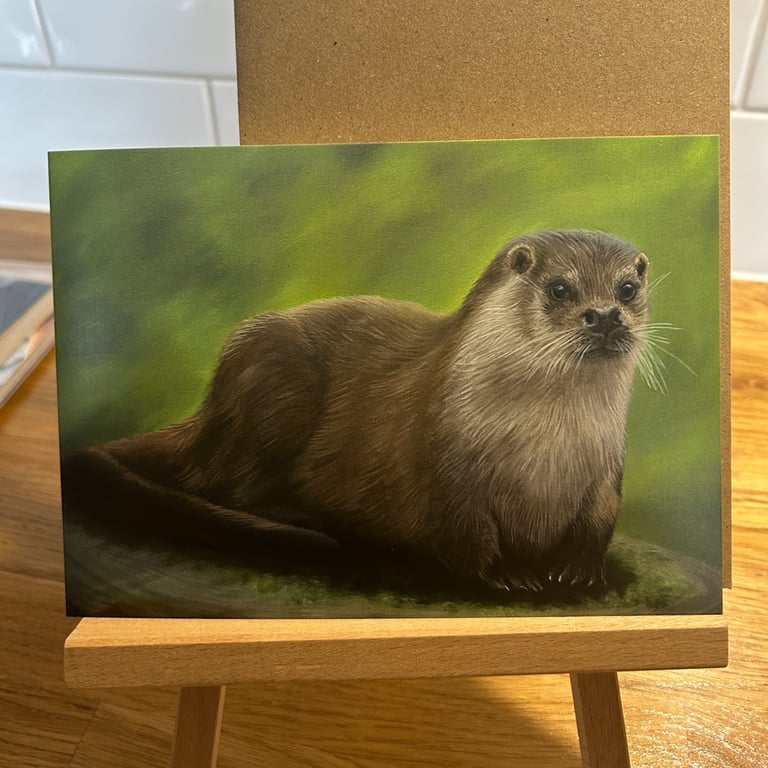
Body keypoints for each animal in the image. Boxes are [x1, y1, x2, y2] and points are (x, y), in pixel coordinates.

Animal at [62, 229, 650, 594]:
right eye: (560, 288)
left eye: (627, 287)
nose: (605, 316)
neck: (545, 449)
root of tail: (208, 413)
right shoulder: (446, 464)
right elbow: (461, 531)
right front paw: (508, 574)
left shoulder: (606, 470)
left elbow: (597, 523)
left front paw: (575, 570)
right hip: (274, 377)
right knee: (222, 483)